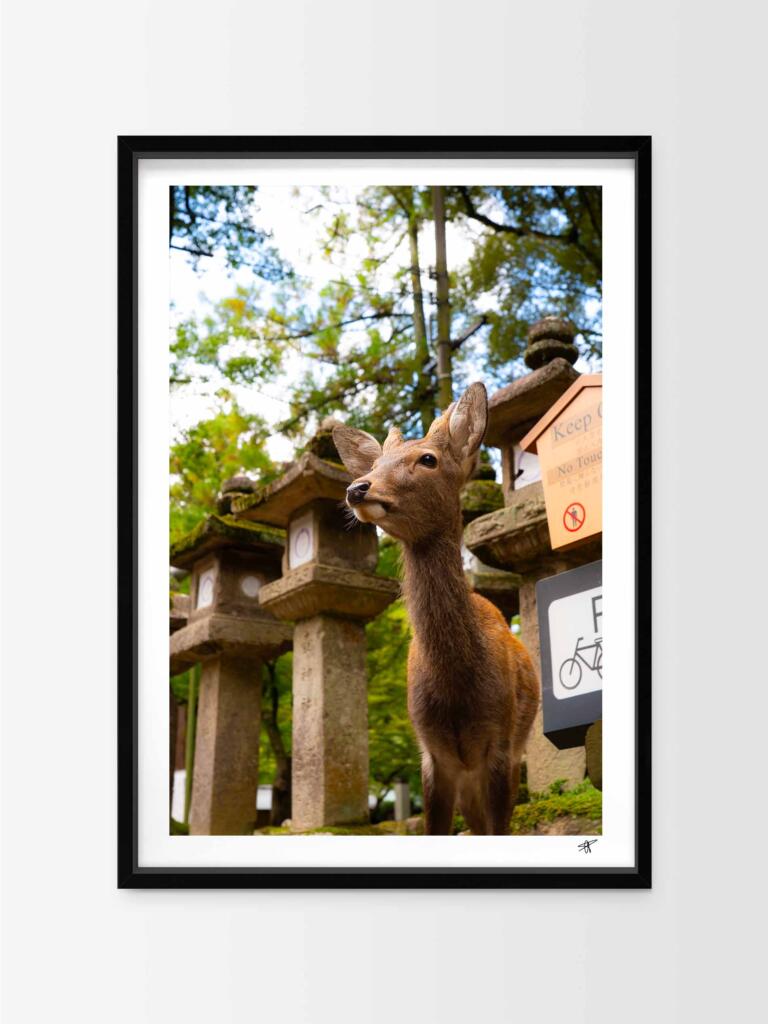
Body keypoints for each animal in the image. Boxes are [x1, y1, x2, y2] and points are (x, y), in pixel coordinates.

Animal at [333, 383, 540, 835]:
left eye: (428, 458)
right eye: (376, 463)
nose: (358, 487)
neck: (458, 690)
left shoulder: (500, 743)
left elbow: (500, 827)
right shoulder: (432, 755)